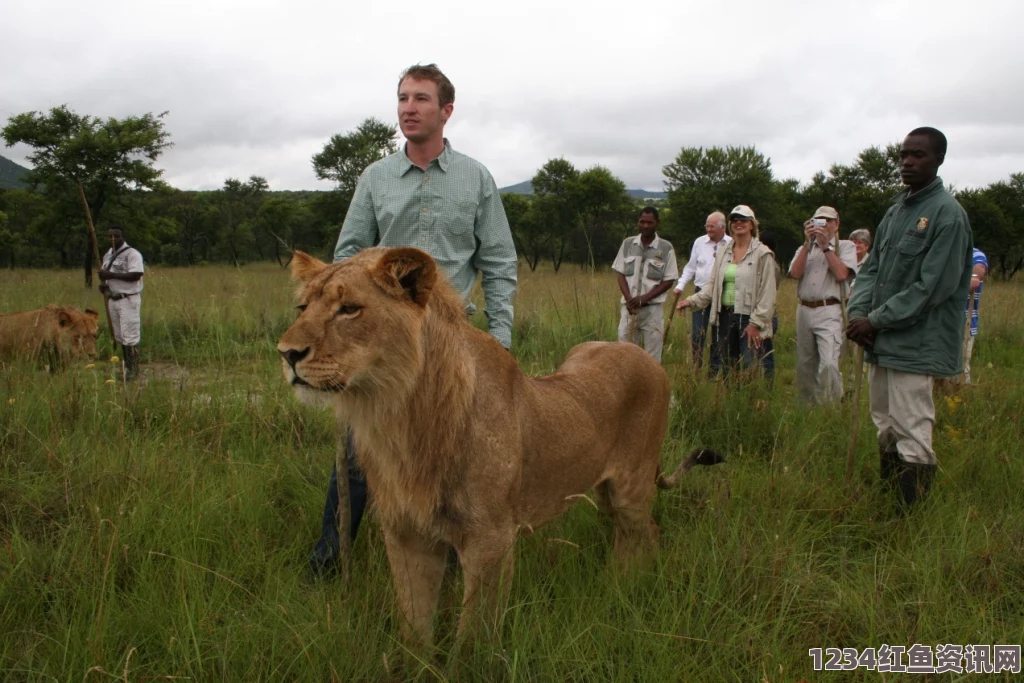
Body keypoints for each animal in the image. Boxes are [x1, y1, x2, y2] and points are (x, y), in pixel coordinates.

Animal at [274, 246, 720, 651]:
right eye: (302, 307)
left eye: (349, 309)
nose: (287, 354)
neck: (400, 415)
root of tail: (644, 355)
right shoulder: (406, 536)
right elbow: (414, 632)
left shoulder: (491, 541)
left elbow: (471, 642)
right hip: (605, 491)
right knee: (636, 532)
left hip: (632, 487)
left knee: (643, 532)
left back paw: (627, 586)